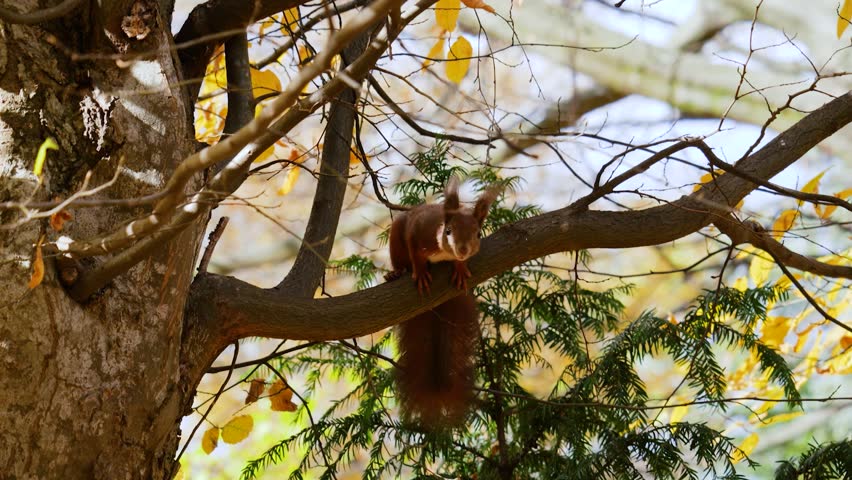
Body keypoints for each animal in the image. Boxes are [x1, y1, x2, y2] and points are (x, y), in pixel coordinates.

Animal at [387, 176, 498, 425]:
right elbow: (415, 253)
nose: (462, 250)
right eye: (448, 231)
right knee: (400, 258)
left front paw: (460, 268)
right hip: (396, 235)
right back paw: (396, 273)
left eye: (478, 234)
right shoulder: (417, 231)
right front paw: (420, 272)